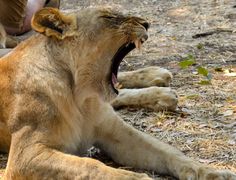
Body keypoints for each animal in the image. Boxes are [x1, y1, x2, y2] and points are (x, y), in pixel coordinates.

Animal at [0, 7, 235, 180]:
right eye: (109, 17)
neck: (81, 95)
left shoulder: (117, 133)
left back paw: (160, 84)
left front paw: (214, 172)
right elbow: (91, 166)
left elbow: (169, 151)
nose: (146, 23)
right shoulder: (25, 155)